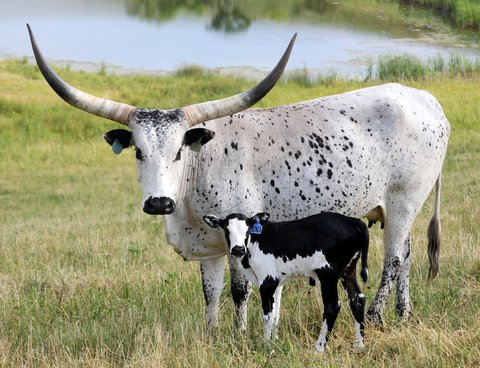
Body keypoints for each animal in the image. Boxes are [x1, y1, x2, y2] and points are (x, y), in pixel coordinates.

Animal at [28, 25, 450, 330]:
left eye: (179, 150)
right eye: (138, 151)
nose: (159, 202)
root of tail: (424, 97)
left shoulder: (240, 235)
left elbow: (239, 289)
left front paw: (241, 334)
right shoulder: (209, 245)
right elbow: (210, 292)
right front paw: (211, 334)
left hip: (404, 200)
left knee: (393, 259)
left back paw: (377, 316)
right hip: (393, 207)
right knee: (407, 255)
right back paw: (404, 314)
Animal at [204, 213, 370, 350]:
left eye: (247, 230)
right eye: (226, 230)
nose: (238, 249)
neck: (255, 242)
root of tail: (352, 220)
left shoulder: (267, 283)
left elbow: (267, 316)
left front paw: (265, 347)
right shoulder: (277, 283)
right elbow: (276, 314)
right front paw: (274, 342)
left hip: (328, 274)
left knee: (332, 306)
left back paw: (318, 348)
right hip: (348, 270)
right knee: (357, 299)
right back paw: (359, 345)